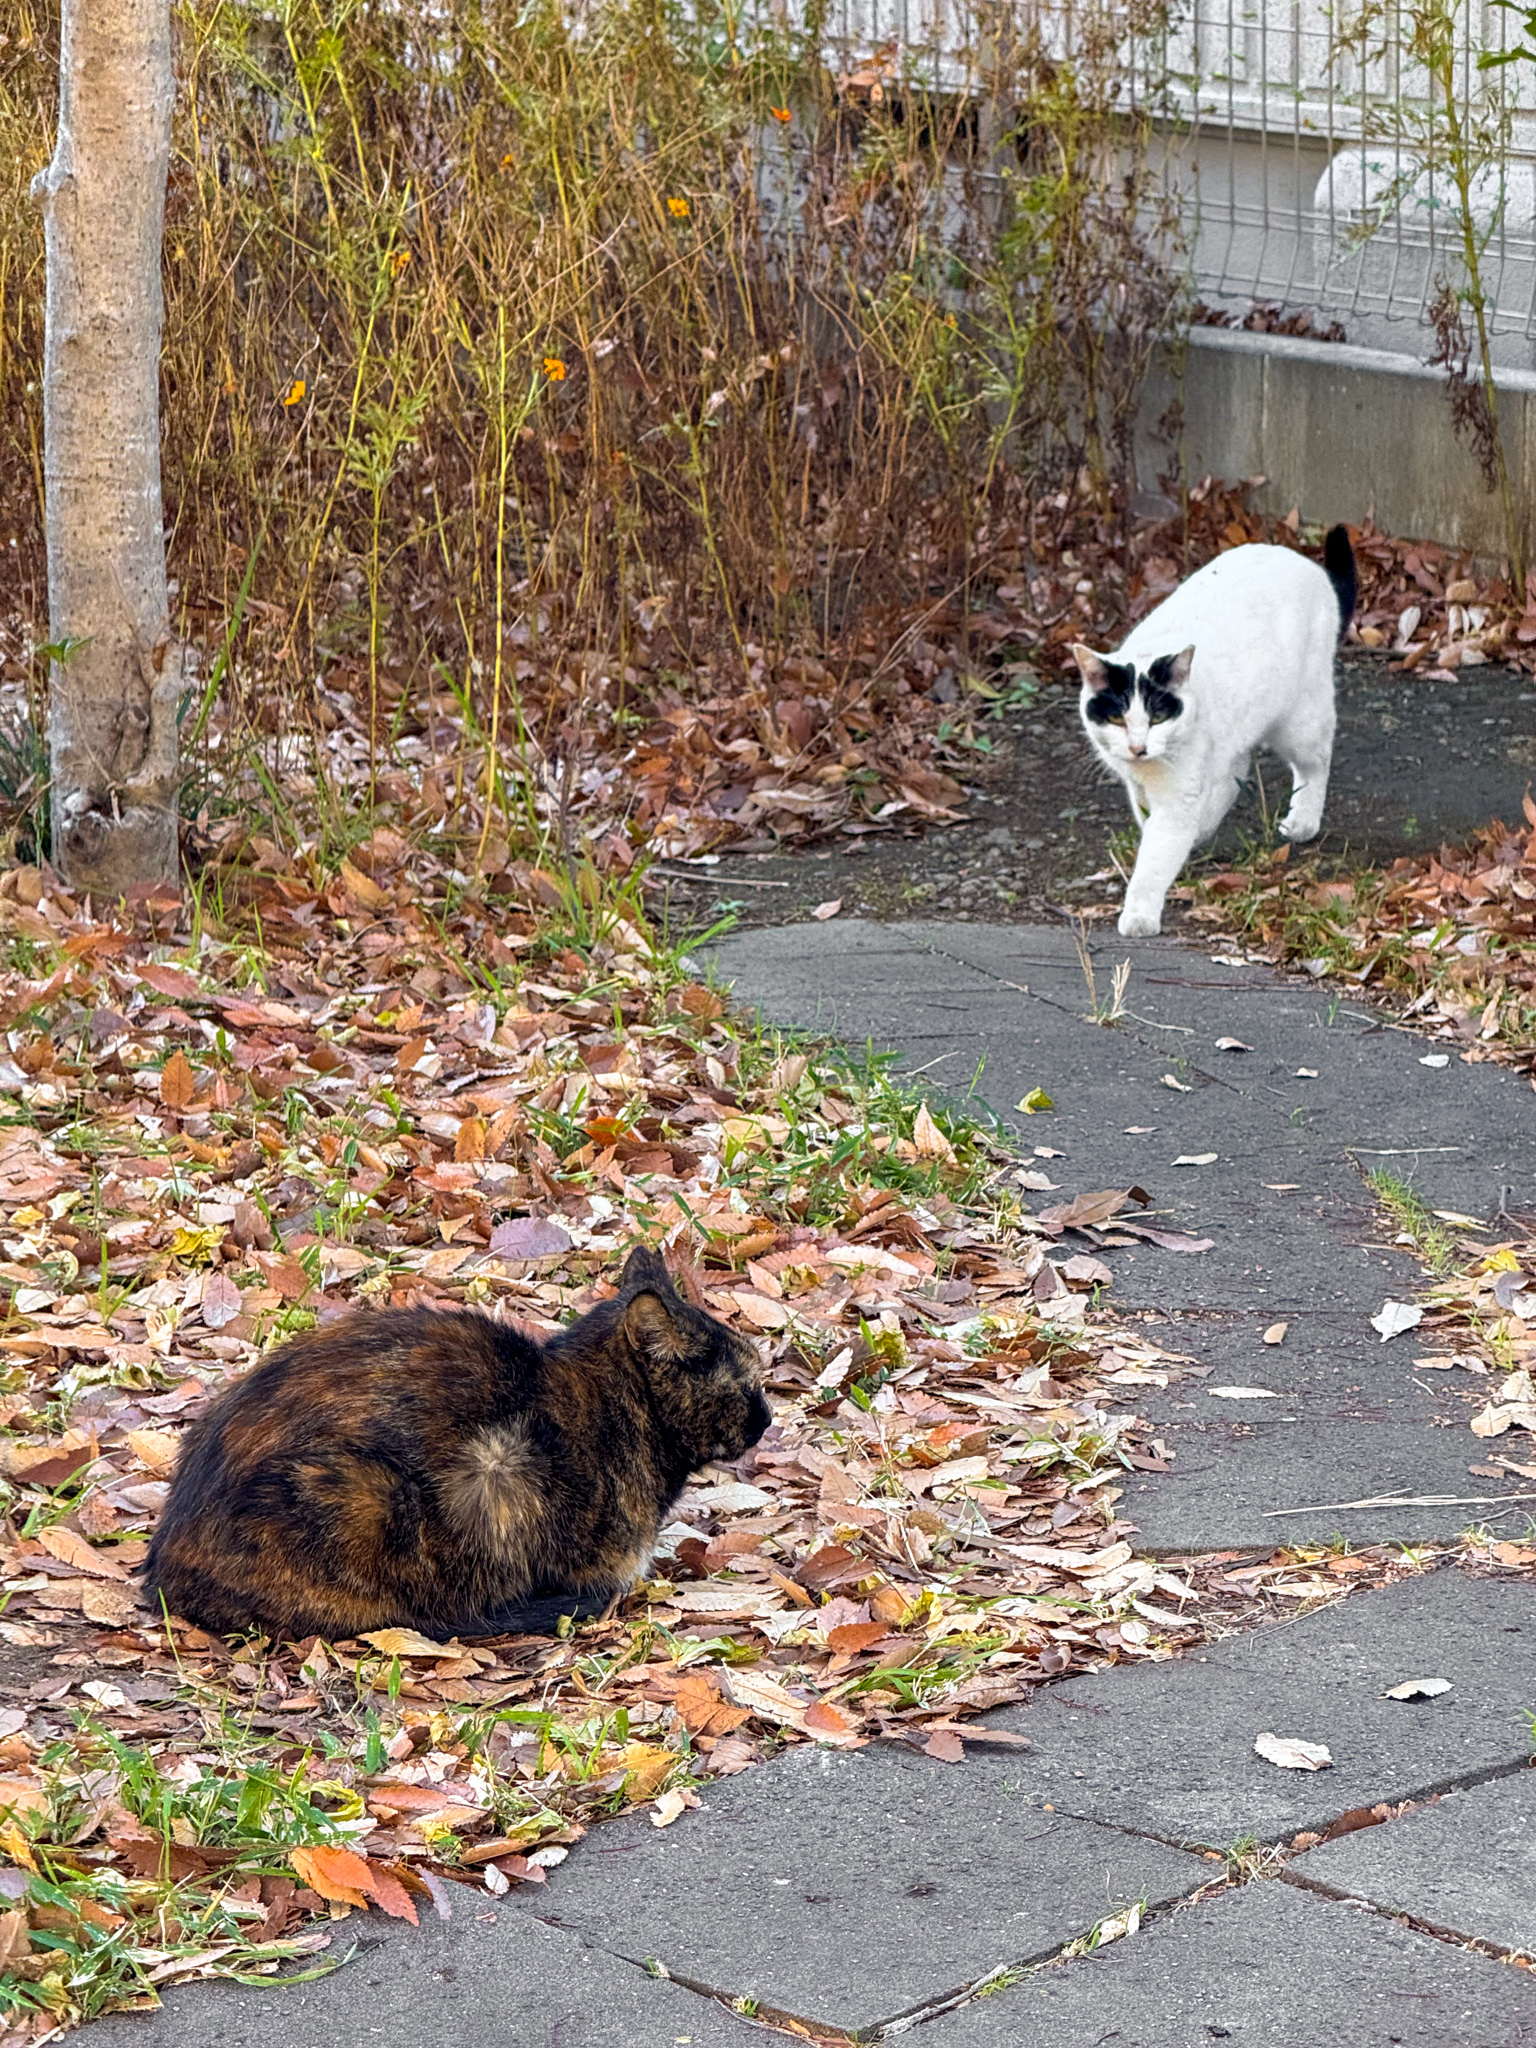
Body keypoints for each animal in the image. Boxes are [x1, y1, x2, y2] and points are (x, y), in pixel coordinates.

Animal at [1073, 524, 1355, 937]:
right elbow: (1148, 820)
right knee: (1235, 772)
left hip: (1298, 721)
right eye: (1117, 720)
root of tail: (1308, 565)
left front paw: (1139, 914)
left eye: (1158, 717)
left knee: (1315, 764)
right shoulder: (1138, 782)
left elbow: (1154, 858)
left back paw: (1303, 821)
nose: (1138, 747)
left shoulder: (1177, 798)